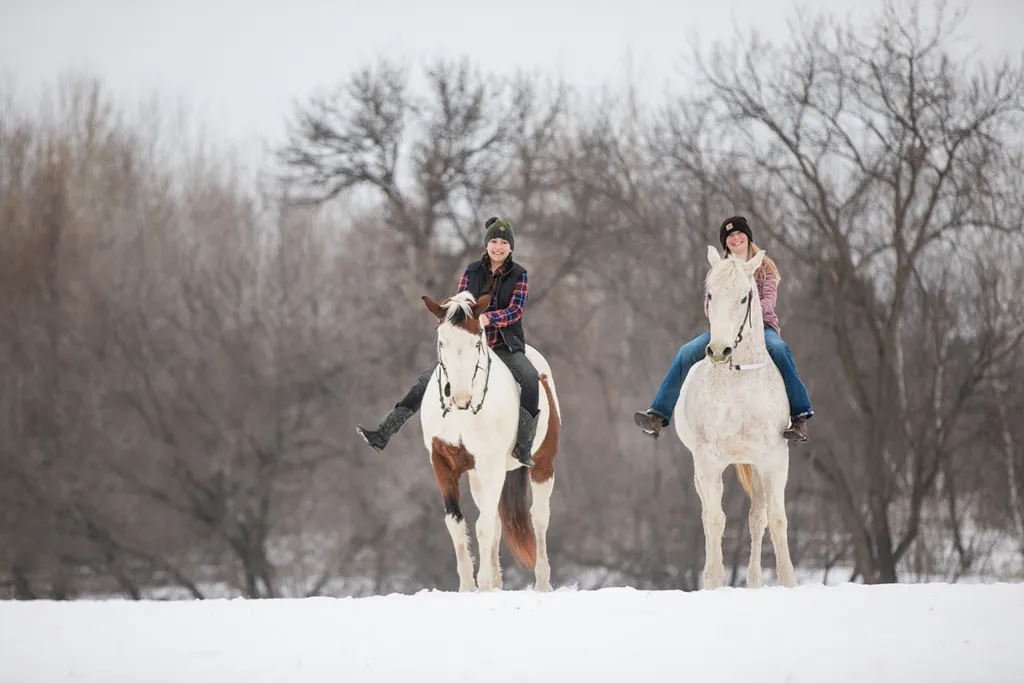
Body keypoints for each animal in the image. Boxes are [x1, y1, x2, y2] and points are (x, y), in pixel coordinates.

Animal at [420, 291, 561, 592]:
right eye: (441, 341)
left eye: (477, 341)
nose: (460, 398)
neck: (462, 415)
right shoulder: (443, 464)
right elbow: (457, 524)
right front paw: (468, 587)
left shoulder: (491, 464)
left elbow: (483, 527)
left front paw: (483, 585)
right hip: (479, 477)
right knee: (496, 520)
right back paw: (498, 583)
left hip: (543, 464)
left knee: (539, 517)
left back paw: (542, 583)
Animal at [673, 245, 797, 590]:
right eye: (710, 295)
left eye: (745, 298)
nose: (719, 351)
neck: (739, 379)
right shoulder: (707, 461)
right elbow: (715, 520)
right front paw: (713, 581)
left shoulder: (774, 458)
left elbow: (777, 520)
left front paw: (789, 582)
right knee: (709, 517)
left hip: (754, 466)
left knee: (757, 518)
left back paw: (754, 581)